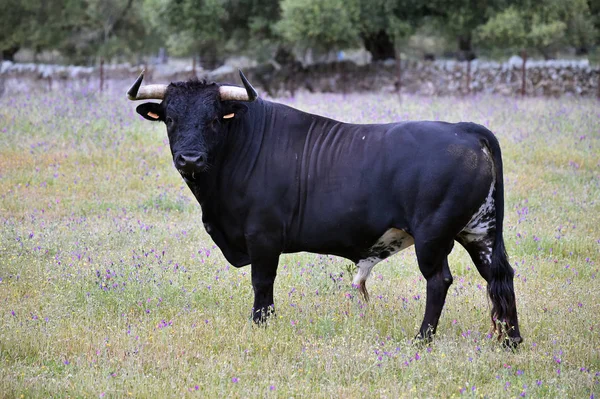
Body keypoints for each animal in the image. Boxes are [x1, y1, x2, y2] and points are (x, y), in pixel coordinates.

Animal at [129, 72, 524, 346]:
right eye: (170, 118)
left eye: (213, 119)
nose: (190, 158)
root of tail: (464, 129)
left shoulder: (263, 236)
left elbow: (262, 284)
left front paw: (260, 324)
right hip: (480, 232)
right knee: (499, 276)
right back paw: (511, 341)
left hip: (433, 236)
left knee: (439, 280)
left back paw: (422, 339)